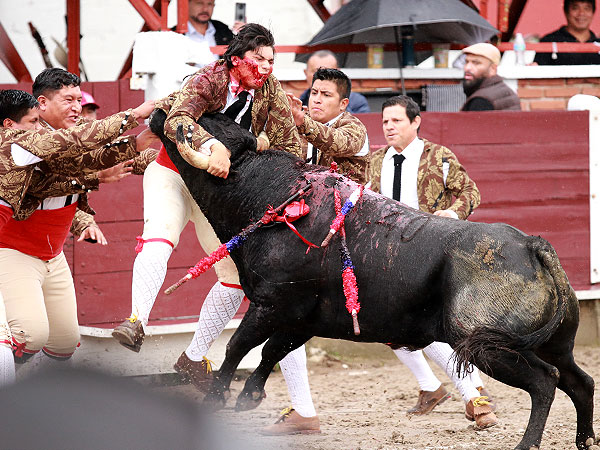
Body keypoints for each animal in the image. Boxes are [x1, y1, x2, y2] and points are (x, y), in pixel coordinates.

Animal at [151, 110, 596, 450]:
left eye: (200, 123)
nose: (158, 112)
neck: (273, 194)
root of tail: (531, 245)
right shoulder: (303, 318)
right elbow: (271, 351)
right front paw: (249, 397)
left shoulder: (269, 304)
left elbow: (239, 347)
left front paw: (217, 398)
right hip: (554, 344)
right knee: (580, 380)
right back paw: (584, 439)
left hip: (485, 345)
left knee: (545, 382)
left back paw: (527, 443)